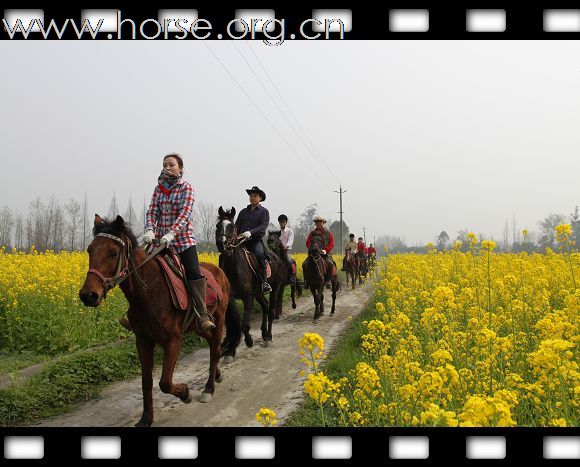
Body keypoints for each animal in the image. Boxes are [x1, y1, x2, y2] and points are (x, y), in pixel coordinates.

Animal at [78, 216, 240, 428]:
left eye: (113, 252)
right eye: (90, 250)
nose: (88, 295)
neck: (149, 292)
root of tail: (220, 272)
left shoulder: (173, 341)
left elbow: (164, 382)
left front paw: (185, 393)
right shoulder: (143, 341)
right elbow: (146, 381)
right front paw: (146, 418)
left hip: (219, 320)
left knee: (215, 350)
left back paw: (208, 388)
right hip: (199, 326)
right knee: (214, 346)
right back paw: (217, 375)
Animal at [215, 207, 286, 348]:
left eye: (232, 226)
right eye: (217, 226)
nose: (222, 243)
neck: (234, 266)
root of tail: (277, 258)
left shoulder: (248, 297)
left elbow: (245, 324)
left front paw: (249, 340)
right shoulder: (231, 297)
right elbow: (237, 319)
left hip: (275, 288)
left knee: (271, 310)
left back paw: (268, 336)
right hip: (258, 292)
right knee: (265, 305)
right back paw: (263, 332)